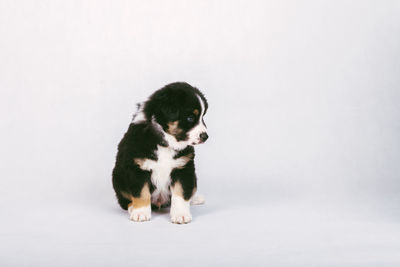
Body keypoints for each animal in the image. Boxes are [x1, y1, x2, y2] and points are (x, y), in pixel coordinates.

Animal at [111, 81, 208, 224]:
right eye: (190, 118)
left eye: (202, 117)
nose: (205, 136)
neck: (165, 142)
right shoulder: (138, 168)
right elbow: (141, 193)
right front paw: (140, 213)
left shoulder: (183, 168)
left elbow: (181, 193)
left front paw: (181, 215)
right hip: (118, 178)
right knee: (124, 201)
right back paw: (132, 208)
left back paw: (195, 198)